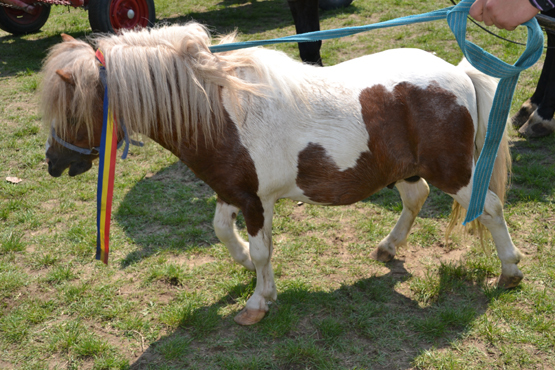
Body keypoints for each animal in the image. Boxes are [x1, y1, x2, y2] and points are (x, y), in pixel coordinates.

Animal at [41, 23, 524, 326]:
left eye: (73, 109)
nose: (53, 163)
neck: (223, 111)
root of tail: (458, 74)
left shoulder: (256, 200)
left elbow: (261, 251)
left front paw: (257, 301)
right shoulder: (233, 191)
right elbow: (226, 232)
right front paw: (246, 269)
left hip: (454, 173)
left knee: (490, 207)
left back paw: (510, 271)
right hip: (407, 170)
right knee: (416, 198)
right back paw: (388, 247)